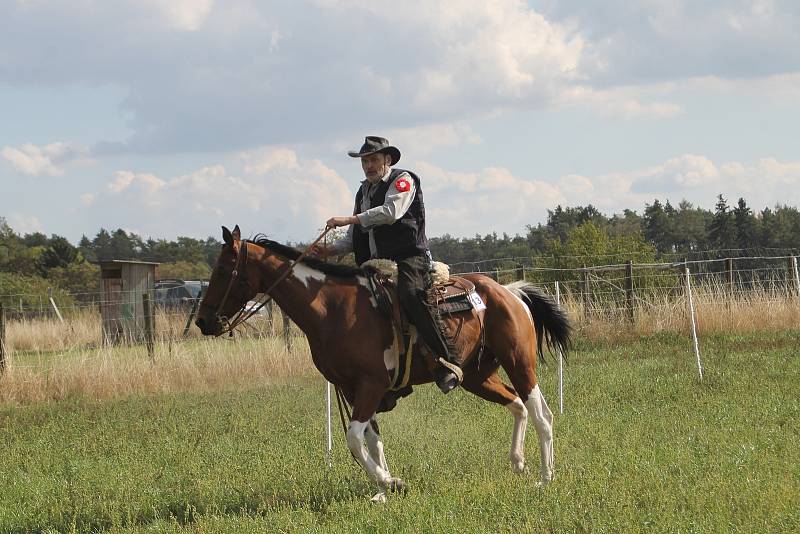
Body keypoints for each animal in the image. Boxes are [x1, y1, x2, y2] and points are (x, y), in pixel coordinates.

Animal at [193, 227, 568, 502]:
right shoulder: (351, 389)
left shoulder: (371, 385)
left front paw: (391, 482)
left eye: (223, 269)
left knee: (541, 413)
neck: (332, 308)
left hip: (519, 362)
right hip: (478, 376)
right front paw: (383, 491)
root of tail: (508, 292)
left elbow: (353, 439)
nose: (203, 321)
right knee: (517, 405)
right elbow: (371, 441)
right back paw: (518, 463)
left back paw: (546, 478)